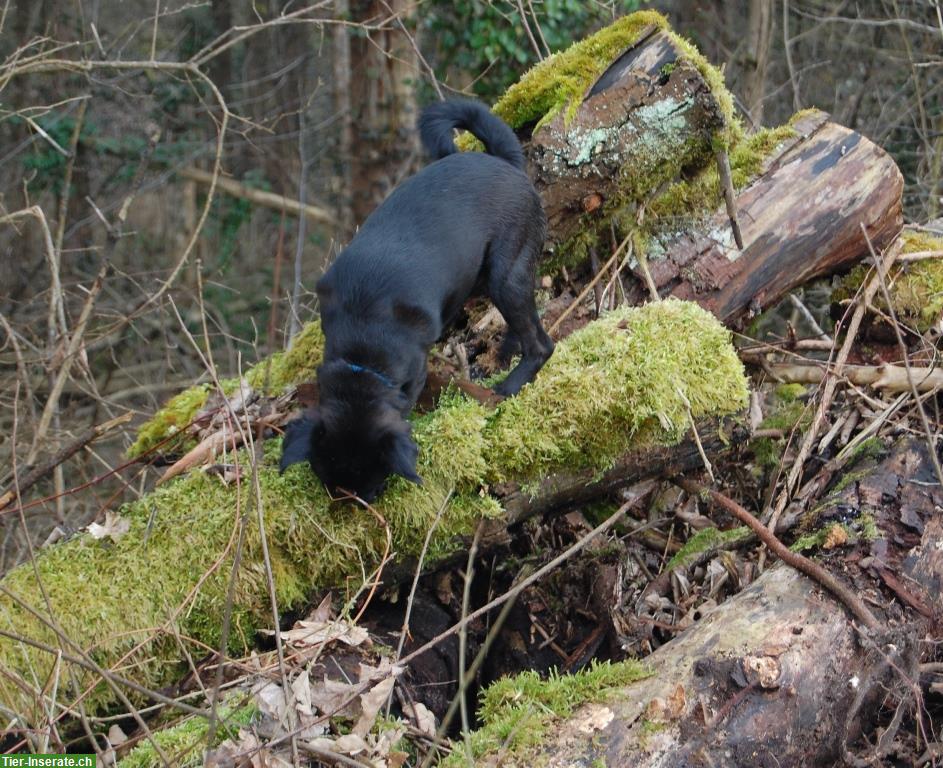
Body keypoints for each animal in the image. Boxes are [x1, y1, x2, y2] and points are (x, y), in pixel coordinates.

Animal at [280, 99, 552, 500]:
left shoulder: (414, 370)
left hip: (507, 275)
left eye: (374, 490)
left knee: (541, 343)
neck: (365, 339)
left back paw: (508, 386)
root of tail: (505, 162)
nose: (351, 506)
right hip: (492, 278)